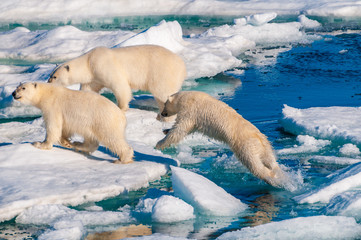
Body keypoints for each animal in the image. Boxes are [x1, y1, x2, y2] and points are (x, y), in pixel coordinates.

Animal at [47, 44, 186, 121]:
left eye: (54, 76)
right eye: (50, 75)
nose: (48, 82)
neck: (89, 61)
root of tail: (182, 64)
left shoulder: (104, 65)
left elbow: (120, 85)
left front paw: (121, 108)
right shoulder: (94, 77)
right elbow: (89, 89)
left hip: (161, 72)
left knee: (163, 92)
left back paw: (166, 118)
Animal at [156, 91, 288, 188]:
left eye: (164, 105)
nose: (162, 113)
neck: (186, 97)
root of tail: (258, 138)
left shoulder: (190, 110)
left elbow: (180, 129)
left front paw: (159, 143)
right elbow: (189, 129)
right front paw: (165, 130)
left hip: (245, 145)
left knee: (253, 163)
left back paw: (271, 179)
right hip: (264, 145)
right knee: (270, 160)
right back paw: (280, 174)